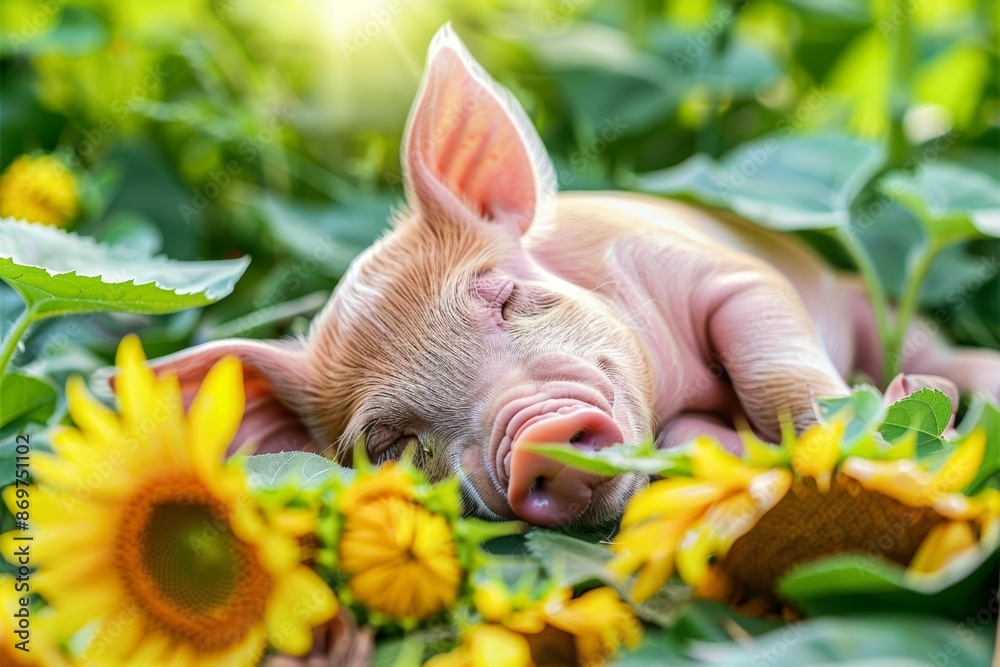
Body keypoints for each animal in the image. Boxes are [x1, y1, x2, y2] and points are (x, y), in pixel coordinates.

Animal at [147, 25, 1000, 528]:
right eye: (389, 442)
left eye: (504, 296)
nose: (537, 438)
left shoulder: (728, 273)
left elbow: (771, 364)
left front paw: (866, 427)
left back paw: (940, 386)